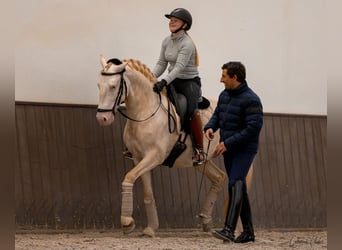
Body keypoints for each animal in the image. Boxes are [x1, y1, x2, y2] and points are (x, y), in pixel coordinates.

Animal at [96, 54, 254, 236]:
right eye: (99, 85)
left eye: (113, 86)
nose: (102, 119)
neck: (146, 112)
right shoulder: (138, 158)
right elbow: (147, 193)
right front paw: (150, 228)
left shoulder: (154, 157)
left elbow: (128, 177)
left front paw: (127, 222)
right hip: (201, 162)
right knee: (219, 177)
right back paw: (205, 219)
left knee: (239, 184)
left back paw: (236, 230)